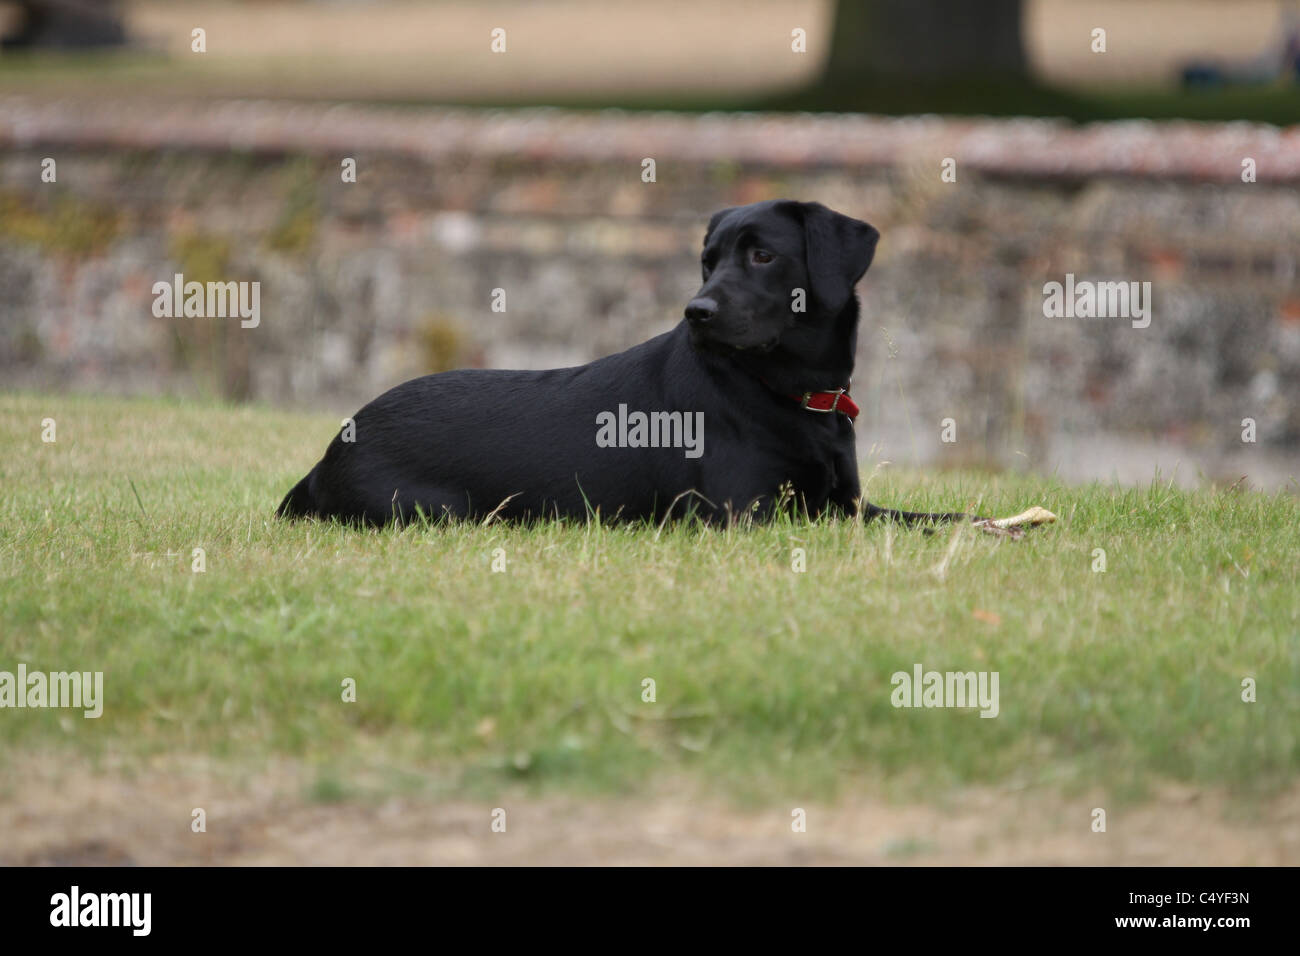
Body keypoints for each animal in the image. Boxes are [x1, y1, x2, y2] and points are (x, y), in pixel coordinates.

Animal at [279, 201, 977, 528]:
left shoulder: (849, 507)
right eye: (708, 260)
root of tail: (328, 453)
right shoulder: (746, 514)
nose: (696, 311)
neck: (790, 393)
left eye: (762, 256)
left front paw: (986, 527)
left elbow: (930, 521)